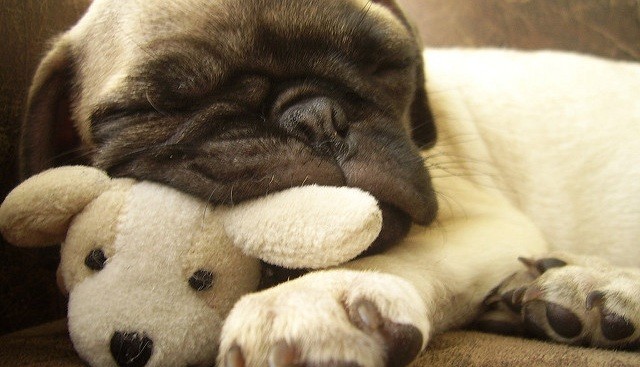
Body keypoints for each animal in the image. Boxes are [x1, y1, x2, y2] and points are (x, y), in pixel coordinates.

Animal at [20, 0, 640, 367]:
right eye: (152, 107)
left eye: (389, 66)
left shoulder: (492, 223)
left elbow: (396, 255)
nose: (316, 115)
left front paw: (315, 300)